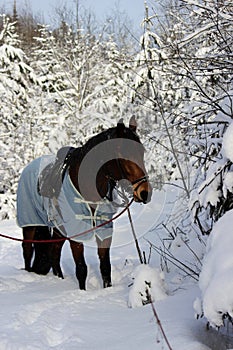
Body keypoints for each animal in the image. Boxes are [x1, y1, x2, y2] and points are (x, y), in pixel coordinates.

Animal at [16, 117, 151, 290]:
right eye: (123, 153)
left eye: (142, 152)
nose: (144, 192)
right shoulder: (77, 231)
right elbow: (81, 268)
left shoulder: (104, 228)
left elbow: (105, 266)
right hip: (30, 224)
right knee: (27, 250)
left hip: (59, 227)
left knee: (54, 253)